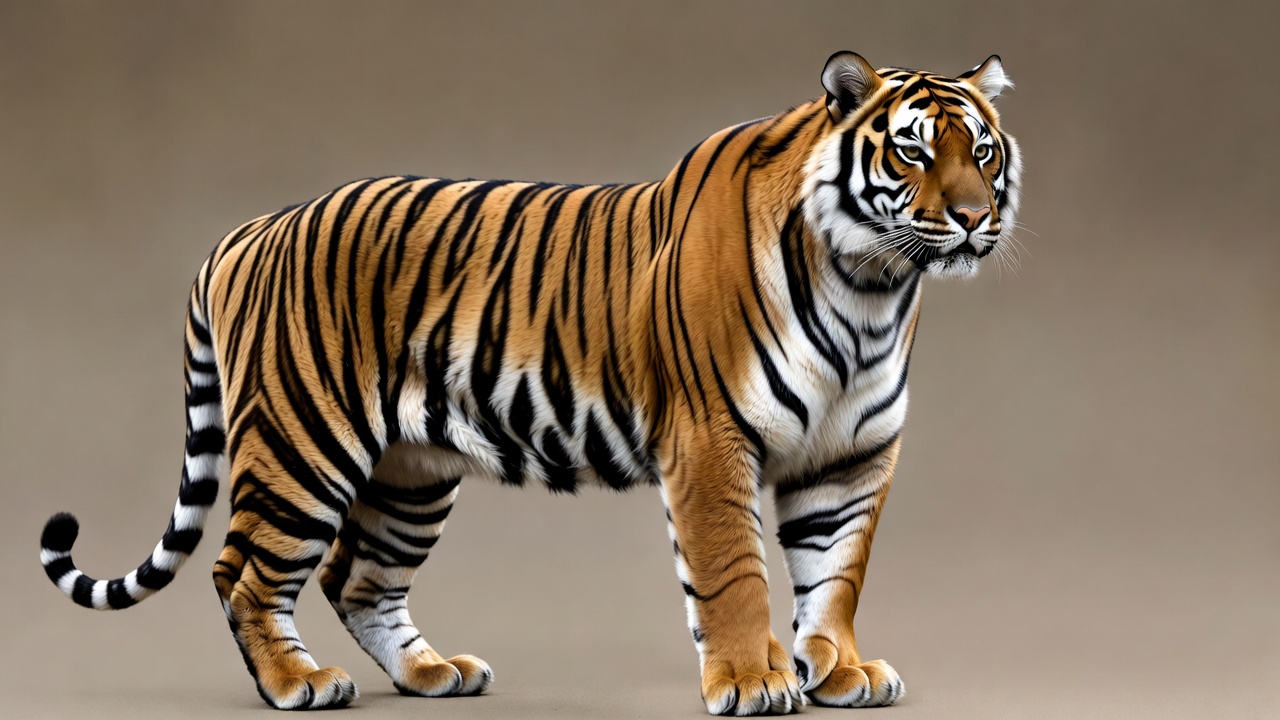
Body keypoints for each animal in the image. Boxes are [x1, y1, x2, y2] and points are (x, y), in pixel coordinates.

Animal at [39, 51, 1021, 715]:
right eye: (912, 153)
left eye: (981, 151)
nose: (975, 218)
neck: (871, 288)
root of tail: (248, 230)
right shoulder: (712, 440)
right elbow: (734, 571)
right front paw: (752, 681)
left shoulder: (850, 457)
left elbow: (835, 573)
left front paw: (841, 670)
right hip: (300, 445)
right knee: (243, 571)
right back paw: (298, 682)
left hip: (410, 475)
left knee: (358, 578)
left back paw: (432, 673)